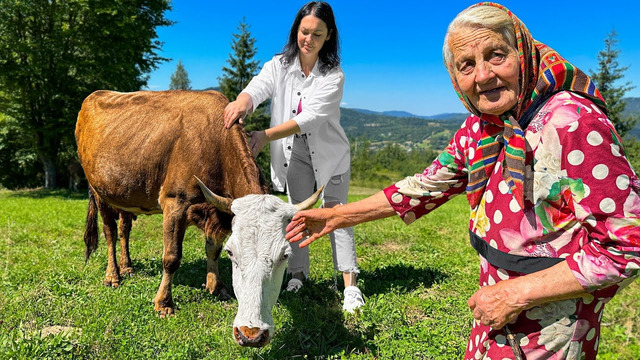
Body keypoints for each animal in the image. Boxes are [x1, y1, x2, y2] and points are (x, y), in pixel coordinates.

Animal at [75, 89, 268, 316]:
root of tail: (97, 94)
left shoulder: (216, 210)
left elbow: (213, 248)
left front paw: (216, 286)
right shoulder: (175, 202)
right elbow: (171, 257)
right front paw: (164, 303)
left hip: (123, 191)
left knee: (124, 229)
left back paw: (127, 266)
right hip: (99, 190)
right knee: (110, 232)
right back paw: (113, 275)